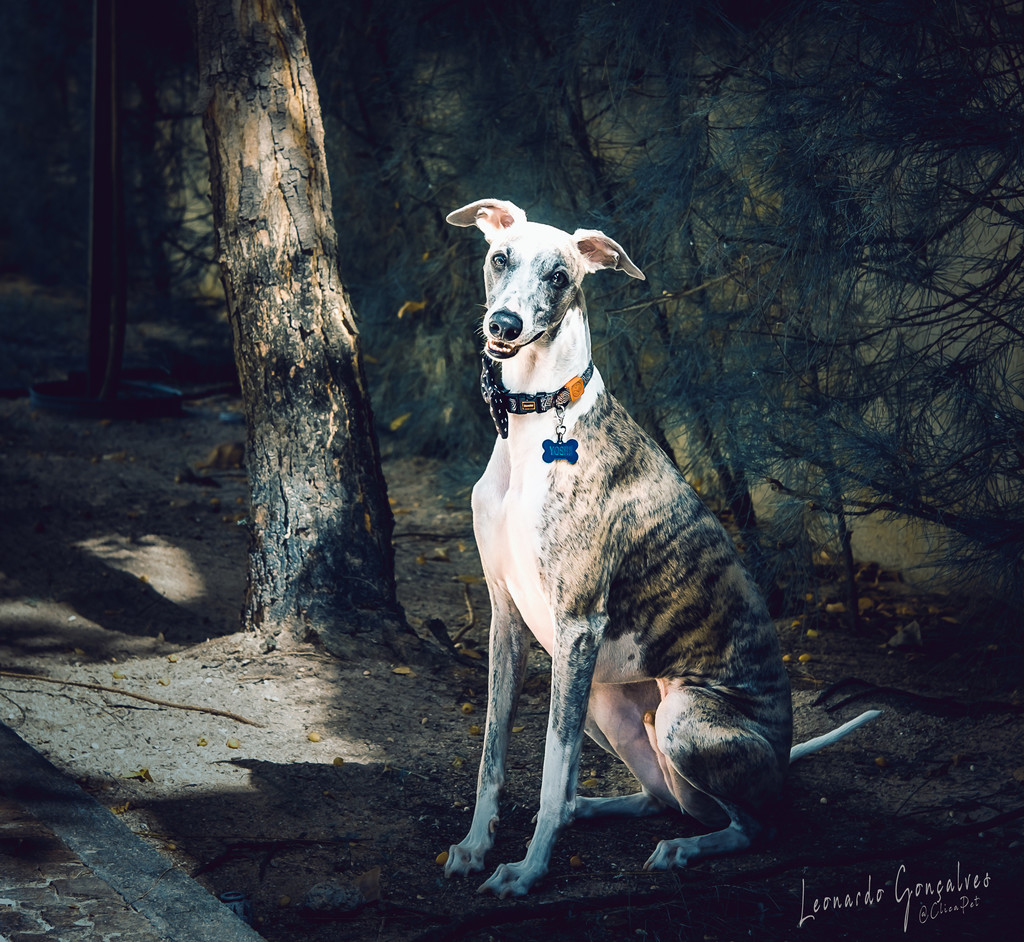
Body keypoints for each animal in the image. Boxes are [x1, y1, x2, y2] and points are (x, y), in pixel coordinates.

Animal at [442, 198, 880, 896]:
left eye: (560, 276)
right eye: (499, 258)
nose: (502, 325)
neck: (537, 424)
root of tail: (782, 755)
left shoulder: (577, 625)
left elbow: (551, 765)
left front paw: (528, 871)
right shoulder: (506, 616)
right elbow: (492, 756)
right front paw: (475, 846)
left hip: (679, 715)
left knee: (754, 824)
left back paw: (680, 848)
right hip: (604, 704)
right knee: (663, 799)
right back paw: (593, 809)